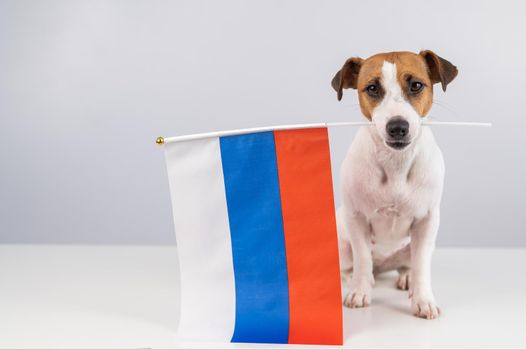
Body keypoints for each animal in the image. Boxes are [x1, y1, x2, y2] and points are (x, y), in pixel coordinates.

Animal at [334, 50, 458, 318]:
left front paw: (423, 299)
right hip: (342, 246)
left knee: (407, 264)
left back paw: (406, 277)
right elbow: (362, 259)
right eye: (372, 88)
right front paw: (360, 291)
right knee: (356, 266)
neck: (395, 163)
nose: (398, 127)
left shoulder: (426, 221)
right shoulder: (356, 218)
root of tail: (384, 265)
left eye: (416, 85)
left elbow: (421, 265)